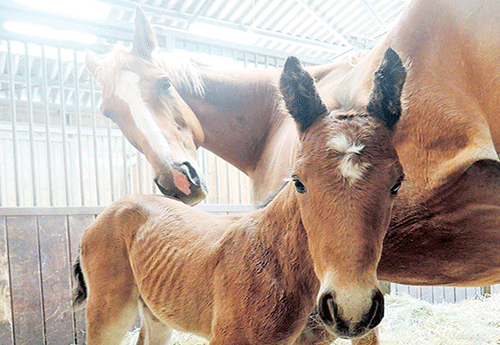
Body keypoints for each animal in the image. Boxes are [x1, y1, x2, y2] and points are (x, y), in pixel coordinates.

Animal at [71, 51, 406, 344]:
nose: (352, 309)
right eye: (298, 182)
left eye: (396, 183)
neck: (273, 259)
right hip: (108, 312)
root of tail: (111, 209)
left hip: (156, 314)